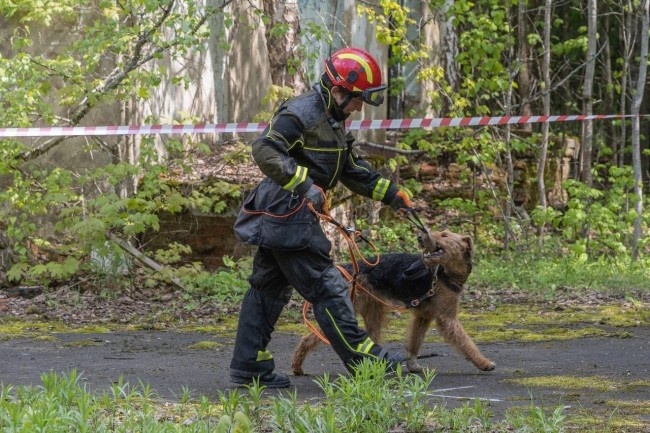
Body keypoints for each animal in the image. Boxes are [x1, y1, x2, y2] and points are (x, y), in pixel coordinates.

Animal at [292, 230, 494, 374]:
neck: (445, 273)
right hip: (349, 307)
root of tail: (347, 268)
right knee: (310, 337)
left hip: (374, 312)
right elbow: (465, 342)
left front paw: (412, 365)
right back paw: (297, 365)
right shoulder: (447, 318)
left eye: (445, 235)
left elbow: (414, 342)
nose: (420, 237)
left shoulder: (423, 315)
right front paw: (484, 362)